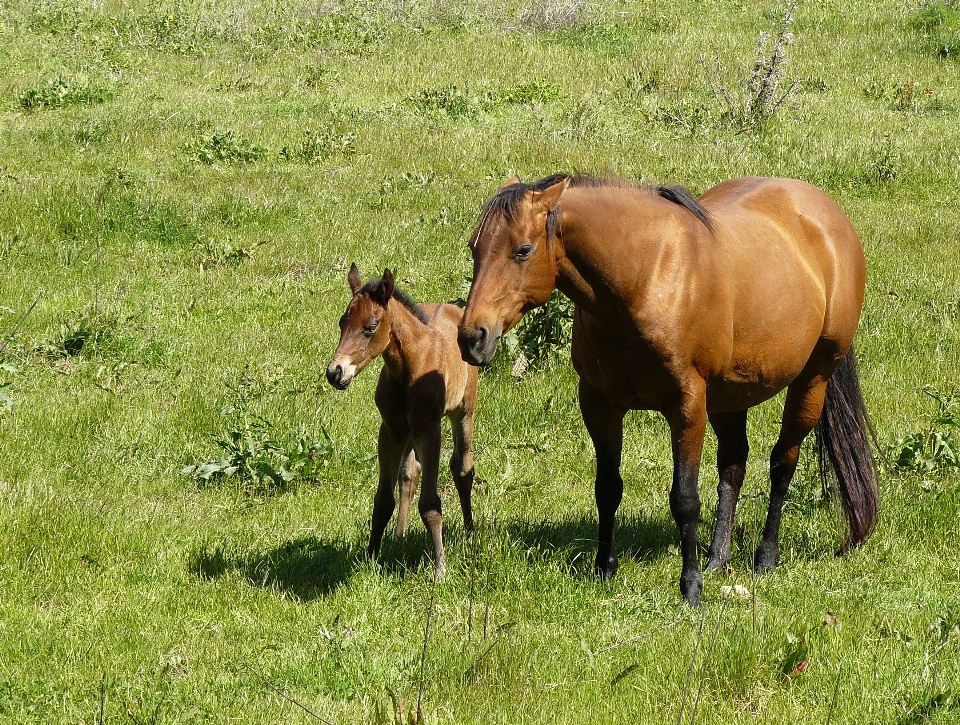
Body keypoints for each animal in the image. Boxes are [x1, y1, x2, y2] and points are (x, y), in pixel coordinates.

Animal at [326, 264, 480, 576]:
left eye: (370, 327)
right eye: (342, 322)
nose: (335, 372)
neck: (410, 366)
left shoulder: (429, 429)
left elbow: (431, 503)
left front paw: (440, 568)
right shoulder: (391, 430)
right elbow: (383, 500)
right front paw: (372, 556)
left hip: (463, 412)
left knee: (462, 468)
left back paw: (470, 532)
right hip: (408, 431)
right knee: (409, 474)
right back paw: (398, 541)